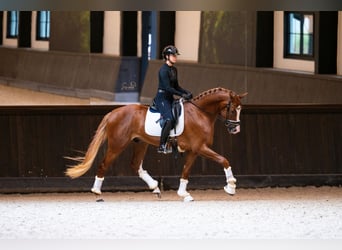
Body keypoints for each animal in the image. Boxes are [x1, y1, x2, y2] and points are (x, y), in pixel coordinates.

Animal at [65, 87, 247, 201]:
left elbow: (186, 171)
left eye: (240, 109)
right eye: (233, 109)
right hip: (117, 145)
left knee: (135, 165)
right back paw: (97, 193)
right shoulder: (200, 148)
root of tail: (112, 113)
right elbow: (223, 160)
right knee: (104, 164)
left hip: (140, 143)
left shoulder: (193, 151)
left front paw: (184, 194)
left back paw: (155, 187)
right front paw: (231, 187)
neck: (200, 113)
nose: (236, 129)